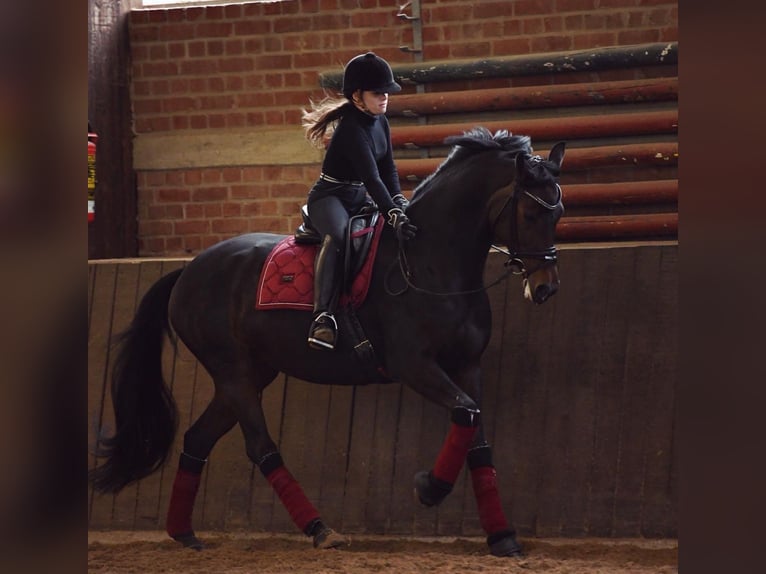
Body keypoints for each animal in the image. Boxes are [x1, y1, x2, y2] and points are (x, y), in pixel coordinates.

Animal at [90, 127, 565, 558]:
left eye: (558, 213)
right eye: (530, 214)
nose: (545, 288)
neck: (432, 262)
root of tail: (189, 270)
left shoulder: (467, 366)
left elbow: (477, 439)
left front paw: (502, 536)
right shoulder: (415, 366)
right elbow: (465, 414)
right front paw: (429, 489)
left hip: (246, 376)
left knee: (196, 440)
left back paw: (184, 533)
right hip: (234, 374)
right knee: (261, 447)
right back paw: (320, 530)